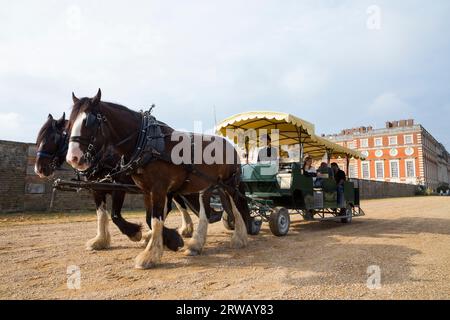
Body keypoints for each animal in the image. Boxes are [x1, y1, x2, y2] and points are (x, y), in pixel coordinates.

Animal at [66, 90, 250, 270]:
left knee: (236, 207)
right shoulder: (142, 190)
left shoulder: (153, 188)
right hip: (207, 186)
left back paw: (239, 237)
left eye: (89, 122)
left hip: (229, 184)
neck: (146, 143)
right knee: (206, 212)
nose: (73, 158)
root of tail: (230, 145)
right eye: (69, 124)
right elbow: (133, 216)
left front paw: (150, 255)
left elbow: (150, 219)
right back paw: (196, 244)